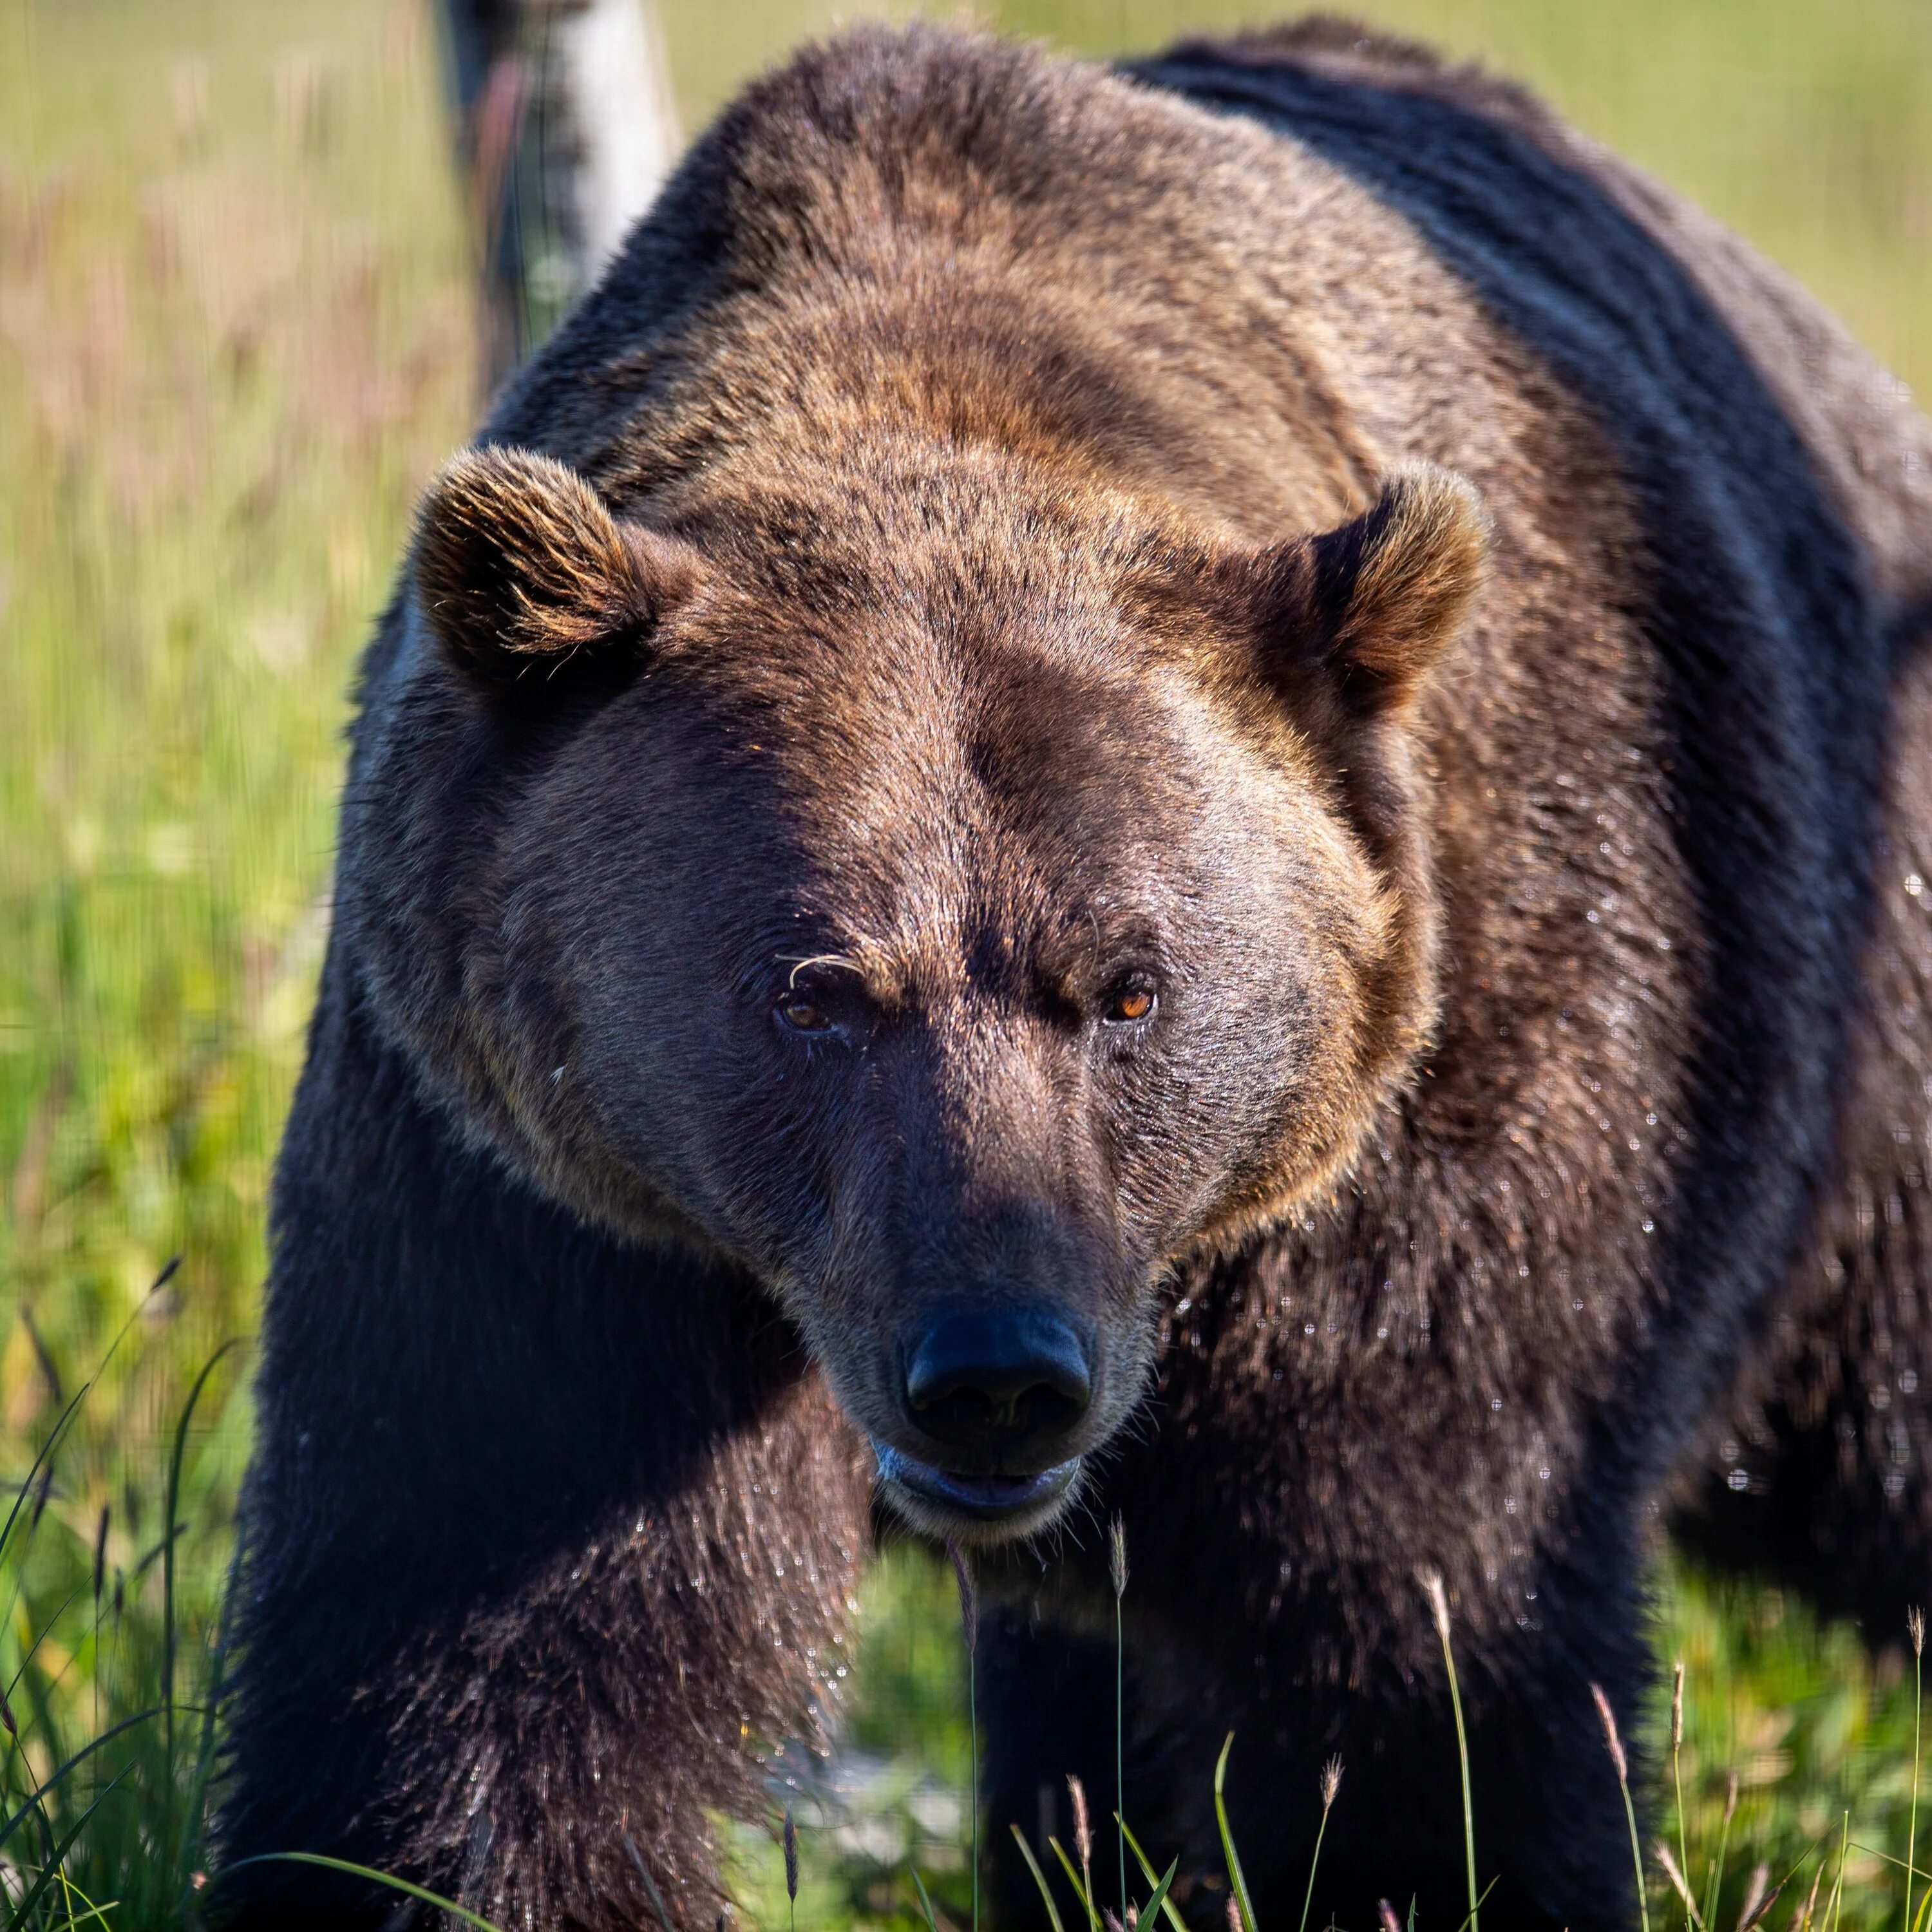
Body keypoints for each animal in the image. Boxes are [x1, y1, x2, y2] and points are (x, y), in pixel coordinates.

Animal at [211, 15, 1932, 1932]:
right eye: (811, 987)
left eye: (1127, 986)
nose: (996, 1368)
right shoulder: (549, 1201)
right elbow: (490, 1658)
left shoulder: (1459, 1140)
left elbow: (1414, 1650)